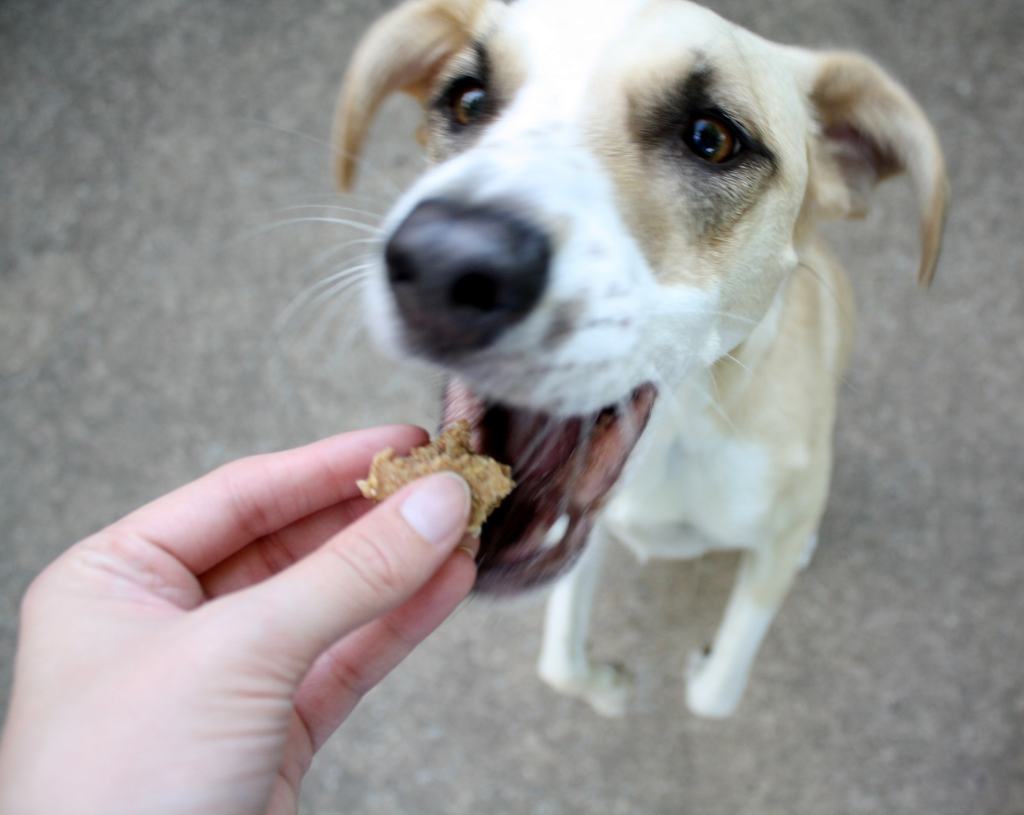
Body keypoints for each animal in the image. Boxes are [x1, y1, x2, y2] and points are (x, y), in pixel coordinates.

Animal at [331, 0, 946, 716]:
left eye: (711, 138)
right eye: (467, 99)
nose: (443, 261)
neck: (678, 440)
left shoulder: (768, 543)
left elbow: (717, 690)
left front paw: (695, 671)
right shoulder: (584, 538)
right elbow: (561, 662)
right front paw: (607, 691)